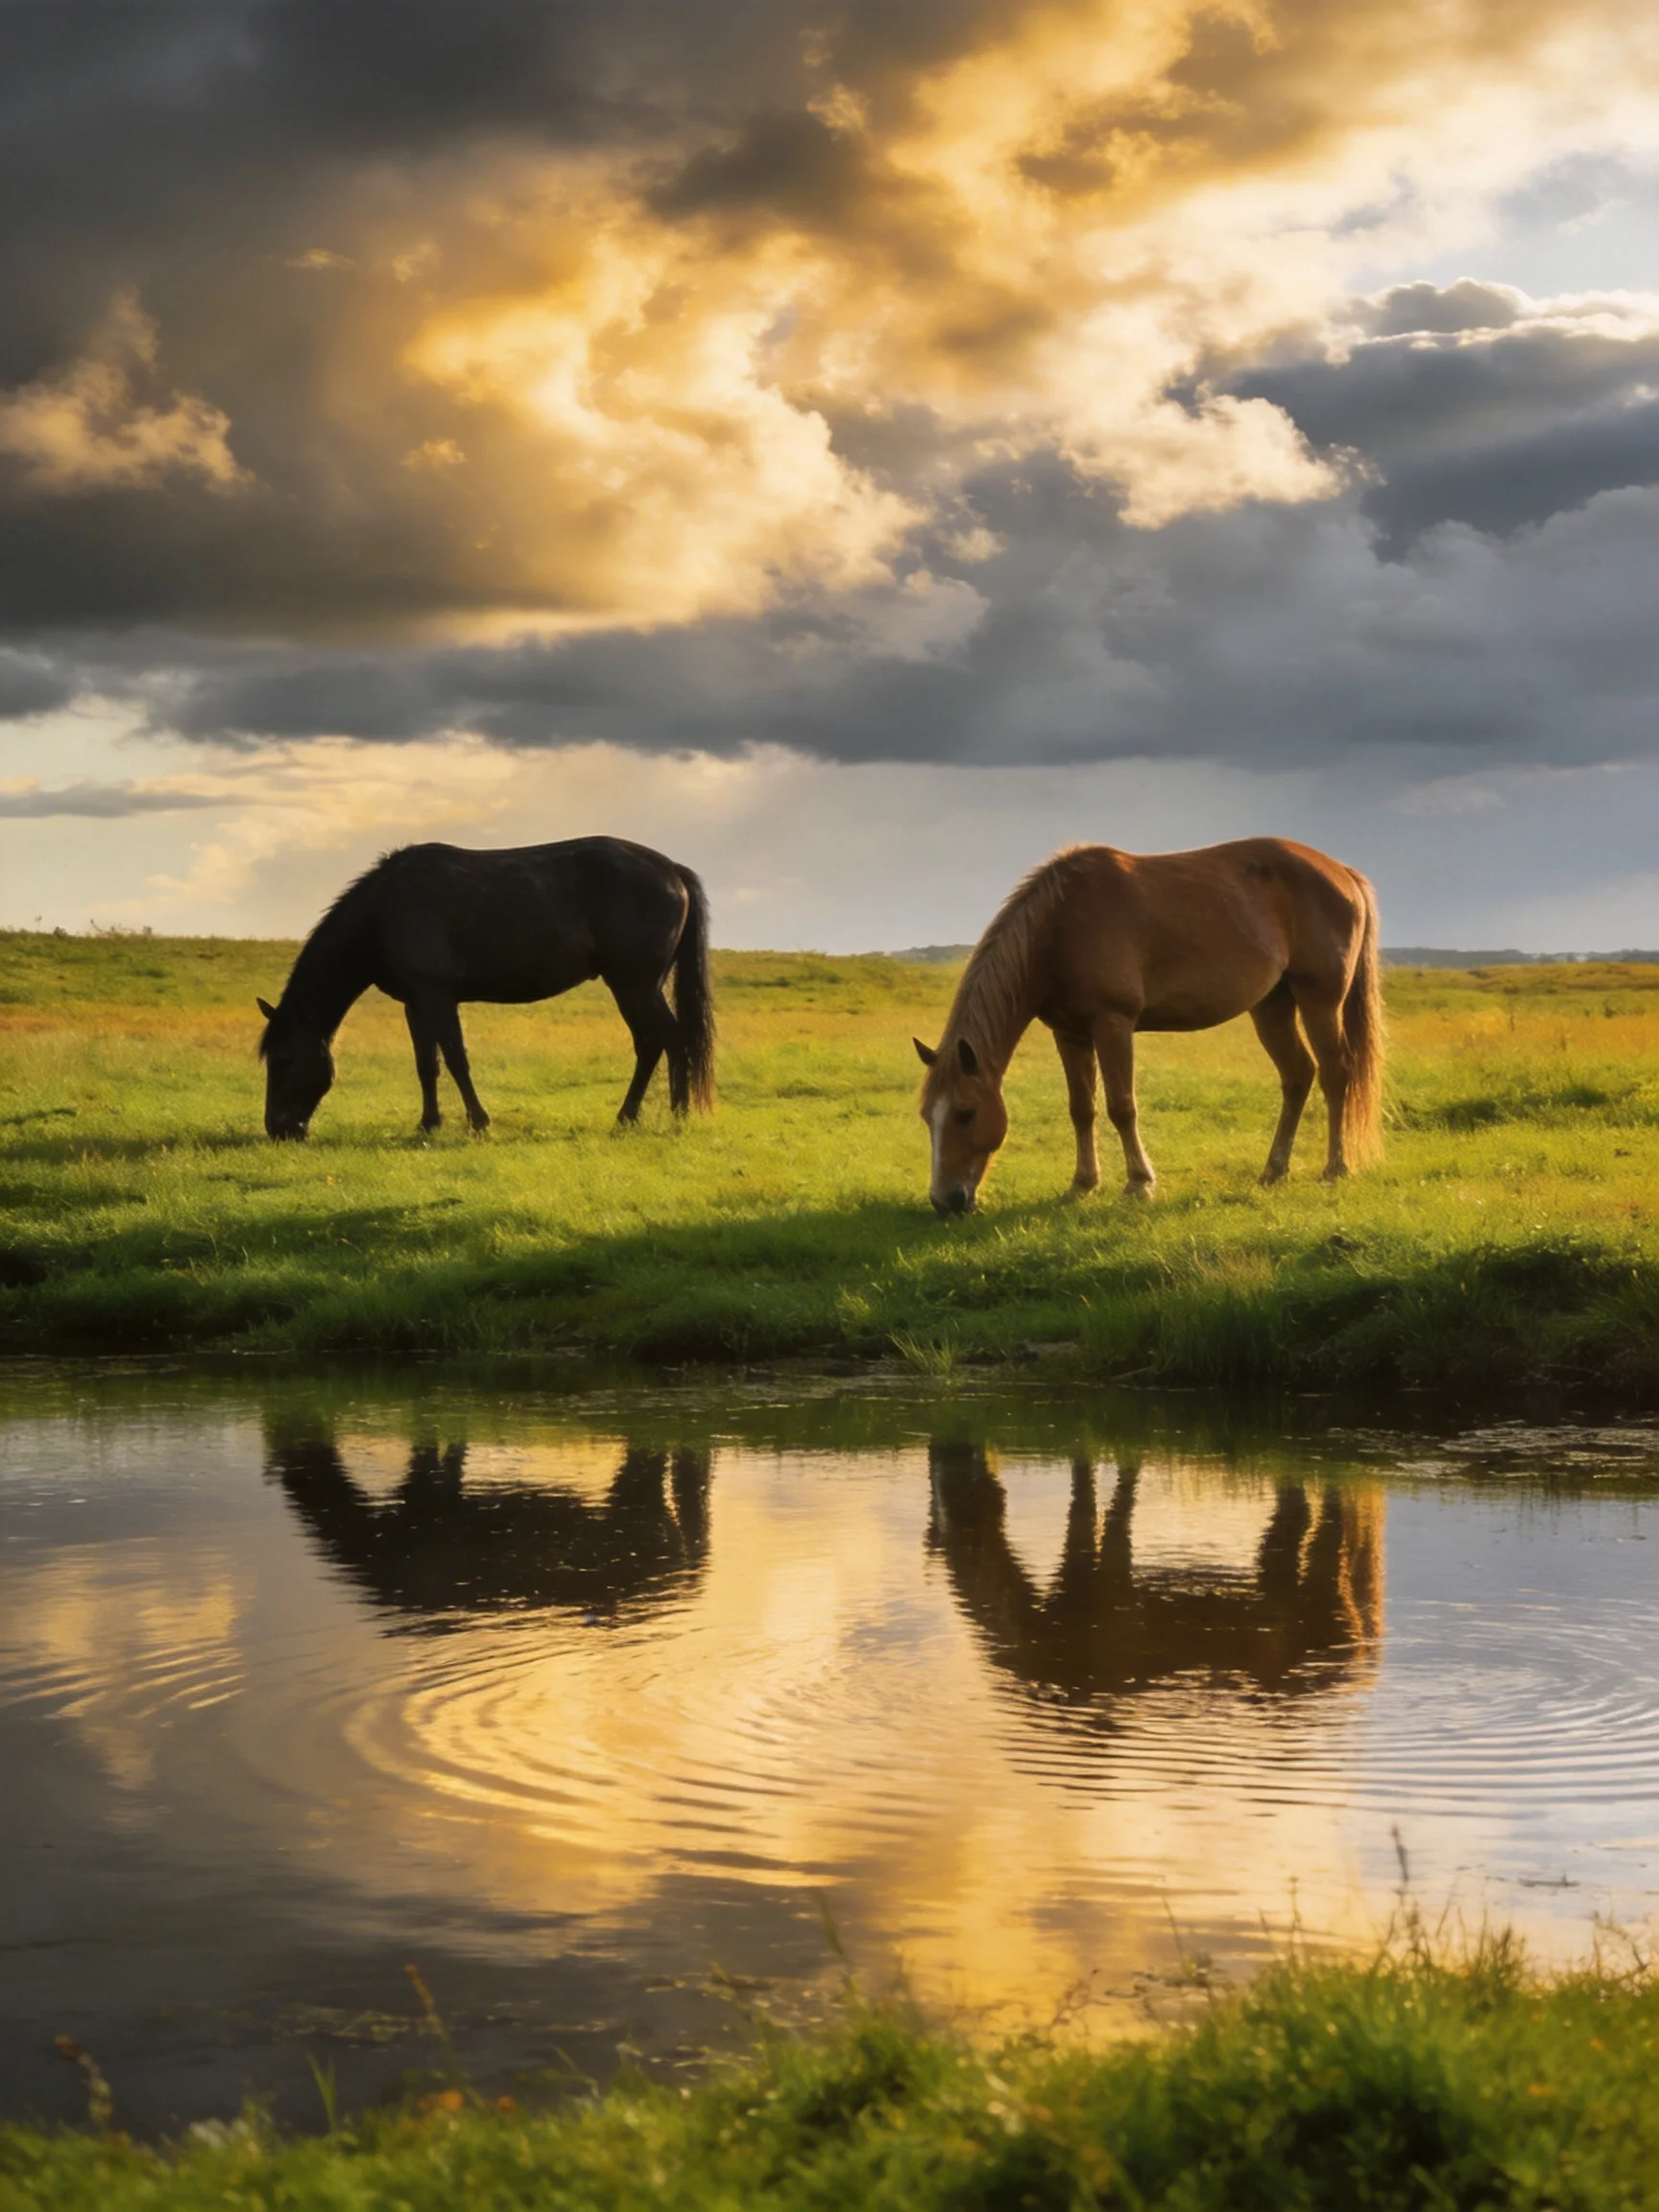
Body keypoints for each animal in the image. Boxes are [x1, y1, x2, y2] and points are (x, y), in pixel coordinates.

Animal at [257, 837, 714, 1140]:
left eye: (283, 1060)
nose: (279, 1130)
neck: (386, 911)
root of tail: (672, 871)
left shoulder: (438, 998)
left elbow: (457, 1060)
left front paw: (478, 1123)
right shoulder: (415, 1002)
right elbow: (427, 1065)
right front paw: (428, 1124)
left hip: (635, 985)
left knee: (667, 1041)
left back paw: (670, 1116)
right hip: (640, 986)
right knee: (656, 1043)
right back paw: (641, 1116)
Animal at [913, 837, 1383, 1213]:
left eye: (965, 1113)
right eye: (925, 1117)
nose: (944, 1201)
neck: (1059, 927)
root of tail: (1342, 872)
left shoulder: (1113, 1024)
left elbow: (1122, 1106)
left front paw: (1139, 1184)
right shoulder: (1069, 1034)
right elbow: (1081, 1109)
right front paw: (1082, 1185)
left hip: (1320, 1000)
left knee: (1335, 1073)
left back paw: (1335, 1168)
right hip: (1272, 1006)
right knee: (1298, 1076)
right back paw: (1273, 1171)